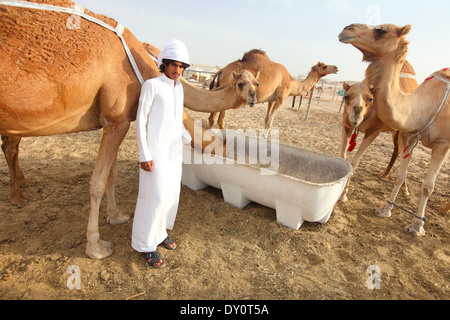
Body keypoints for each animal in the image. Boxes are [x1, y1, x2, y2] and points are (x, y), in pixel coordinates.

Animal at [0, 0, 260, 258]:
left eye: (256, 83)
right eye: (241, 83)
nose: (253, 97)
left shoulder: (115, 120)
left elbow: (111, 176)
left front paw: (116, 217)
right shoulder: (117, 118)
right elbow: (97, 182)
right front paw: (95, 246)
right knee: (11, 146)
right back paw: (18, 198)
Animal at [207, 49, 338, 135]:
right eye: (324, 66)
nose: (336, 68)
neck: (291, 83)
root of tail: (221, 71)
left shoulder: (271, 99)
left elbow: (266, 120)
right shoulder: (281, 98)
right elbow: (270, 122)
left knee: (213, 118)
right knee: (219, 119)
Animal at [342, 59, 418, 200]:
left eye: (371, 98)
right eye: (346, 96)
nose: (357, 112)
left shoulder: (374, 130)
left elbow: (354, 162)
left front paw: (344, 195)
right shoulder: (346, 126)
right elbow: (343, 156)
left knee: (406, 156)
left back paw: (405, 189)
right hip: (396, 132)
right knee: (397, 150)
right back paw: (384, 174)